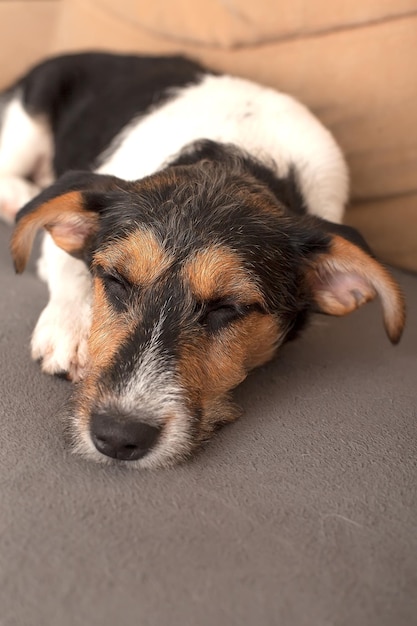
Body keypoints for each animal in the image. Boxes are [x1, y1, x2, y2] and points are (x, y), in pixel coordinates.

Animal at [0, 51, 404, 466]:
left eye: (228, 307)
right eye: (116, 281)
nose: (116, 437)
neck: (236, 156)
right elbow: (69, 266)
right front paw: (69, 329)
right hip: (26, 122)